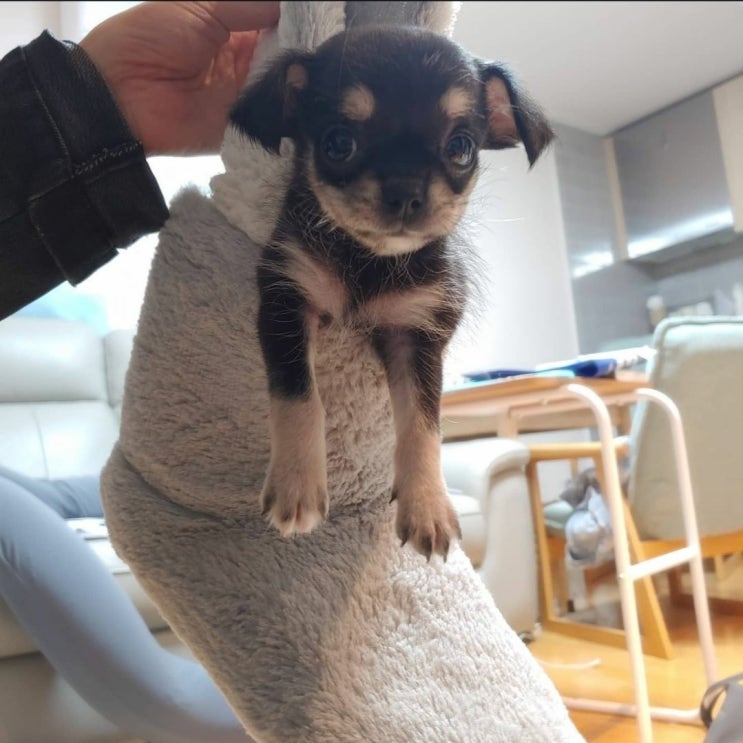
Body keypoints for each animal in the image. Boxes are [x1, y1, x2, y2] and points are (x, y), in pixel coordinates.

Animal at [230, 25, 554, 560]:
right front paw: (297, 484)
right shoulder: (287, 299)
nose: (405, 191)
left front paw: (427, 506)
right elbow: (299, 396)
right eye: (338, 143)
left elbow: (423, 424)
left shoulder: (416, 334)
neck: (368, 260)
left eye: (461, 148)